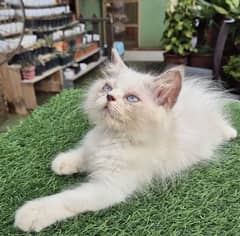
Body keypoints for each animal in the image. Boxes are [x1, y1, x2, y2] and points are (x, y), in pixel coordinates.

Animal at [14, 48, 236, 232]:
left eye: (131, 99)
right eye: (107, 87)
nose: (109, 96)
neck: (113, 136)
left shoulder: (109, 187)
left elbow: (68, 199)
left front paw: (31, 213)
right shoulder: (94, 147)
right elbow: (83, 153)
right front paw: (63, 162)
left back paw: (231, 132)